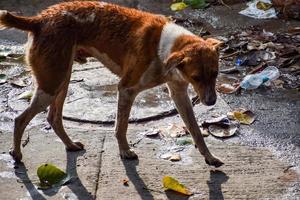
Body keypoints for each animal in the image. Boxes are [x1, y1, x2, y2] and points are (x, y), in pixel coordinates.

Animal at [0, 0, 224, 167]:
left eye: (215, 73)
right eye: (196, 77)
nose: (211, 102)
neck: (166, 46)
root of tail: (39, 19)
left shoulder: (180, 94)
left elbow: (196, 131)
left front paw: (210, 157)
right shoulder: (126, 89)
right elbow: (121, 126)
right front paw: (125, 151)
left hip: (62, 80)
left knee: (53, 117)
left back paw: (70, 145)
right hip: (51, 84)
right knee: (20, 119)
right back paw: (17, 154)